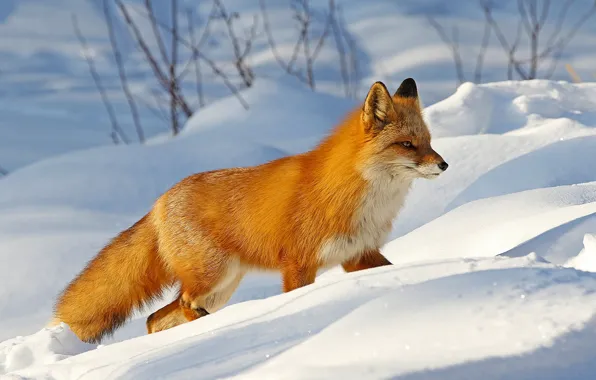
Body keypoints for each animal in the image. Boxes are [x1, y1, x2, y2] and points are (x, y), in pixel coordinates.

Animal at [50, 78, 448, 342]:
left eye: (429, 142)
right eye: (407, 145)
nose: (444, 165)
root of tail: (160, 201)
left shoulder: (358, 255)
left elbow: (391, 268)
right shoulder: (298, 263)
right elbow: (295, 297)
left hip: (221, 287)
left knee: (154, 319)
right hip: (212, 277)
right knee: (183, 306)